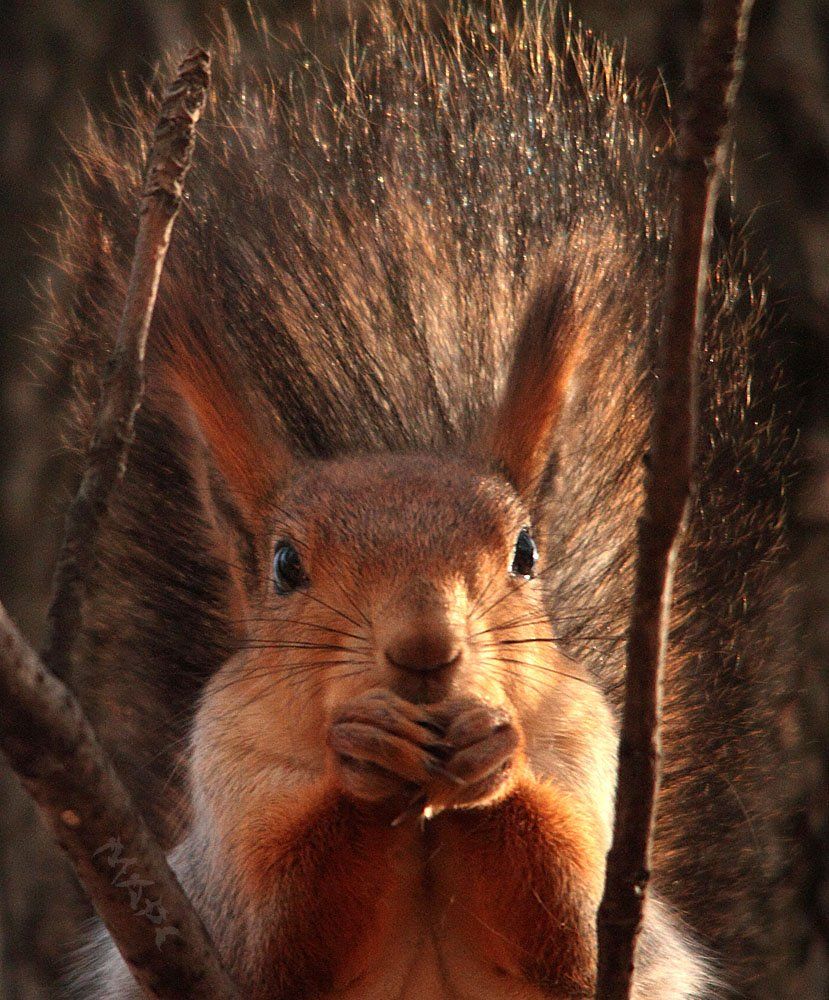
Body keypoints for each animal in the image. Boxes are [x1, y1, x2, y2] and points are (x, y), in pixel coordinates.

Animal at [47, 1, 804, 1000]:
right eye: (284, 565)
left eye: (525, 551)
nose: (424, 648)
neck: (428, 813)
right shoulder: (225, 792)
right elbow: (276, 937)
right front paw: (361, 757)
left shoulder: (587, 753)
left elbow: (573, 932)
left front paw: (495, 751)